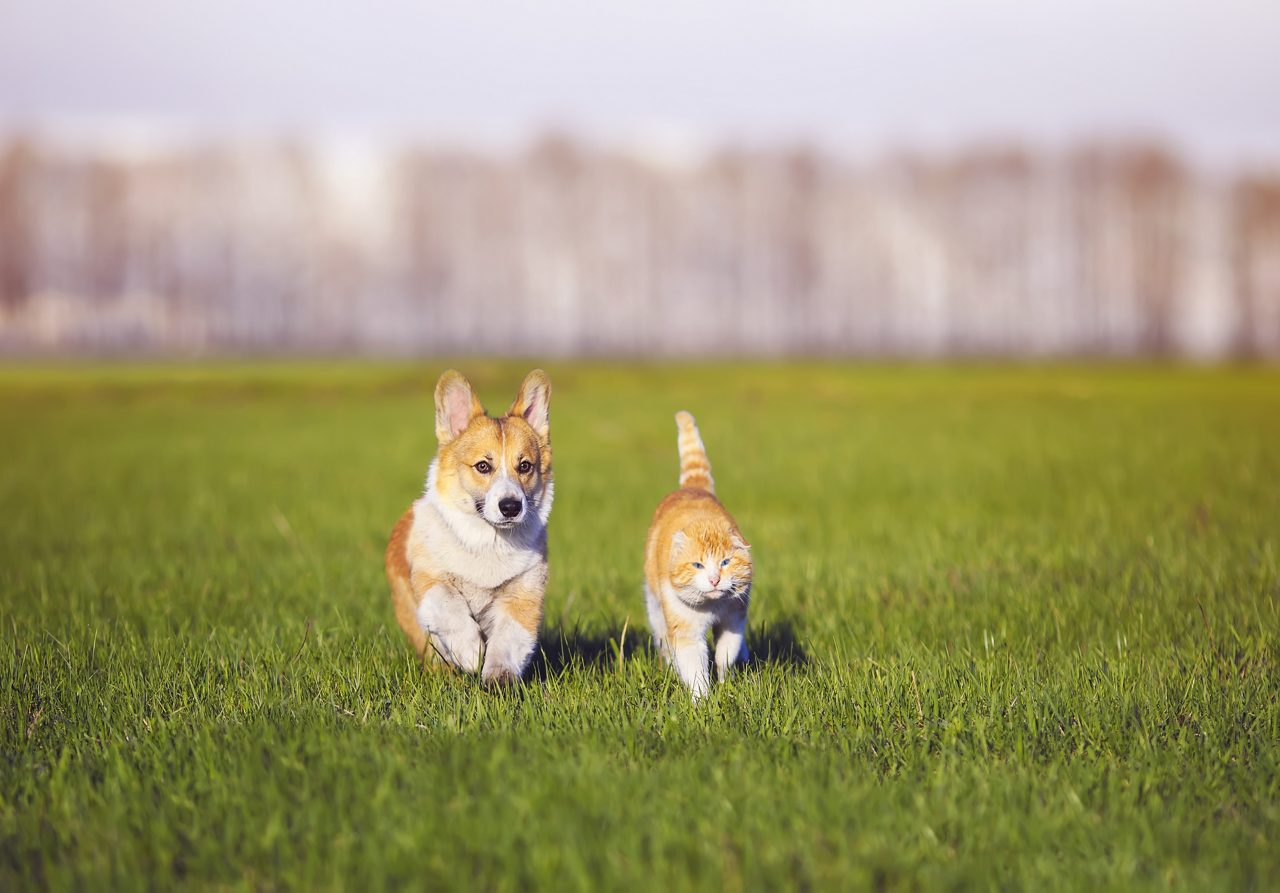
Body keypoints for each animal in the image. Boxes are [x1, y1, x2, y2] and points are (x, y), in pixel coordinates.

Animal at [384, 368, 555, 680]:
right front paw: (471, 653)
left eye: (524, 466)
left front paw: (498, 677)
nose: (511, 507)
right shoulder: (431, 580)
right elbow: (448, 604)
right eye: (483, 466)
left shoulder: (524, 593)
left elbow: (509, 637)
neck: (490, 541)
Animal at [640, 409, 747, 695]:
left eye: (725, 562)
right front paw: (703, 700)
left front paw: (724, 681)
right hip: (656, 610)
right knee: (664, 643)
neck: (711, 606)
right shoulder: (685, 631)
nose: (714, 580)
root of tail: (693, 487)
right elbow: (694, 668)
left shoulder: (735, 618)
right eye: (697, 565)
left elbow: (725, 654)